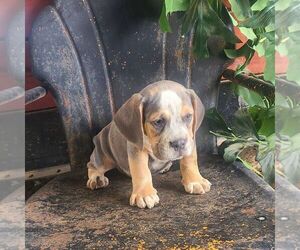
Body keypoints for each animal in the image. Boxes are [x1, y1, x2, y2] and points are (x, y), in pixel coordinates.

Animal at [86, 80, 211, 209]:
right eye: (158, 121)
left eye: (188, 116)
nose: (179, 143)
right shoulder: (136, 148)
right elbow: (141, 170)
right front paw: (144, 194)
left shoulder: (191, 138)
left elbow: (190, 161)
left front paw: (195, 181)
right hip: (103, 152)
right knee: (93, 165)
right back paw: (96, 178)